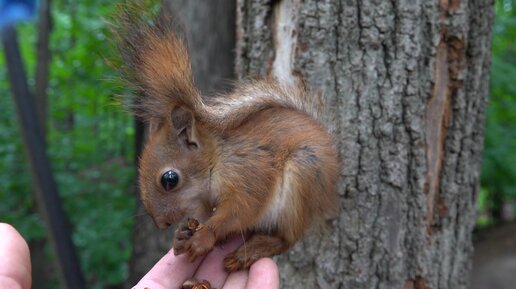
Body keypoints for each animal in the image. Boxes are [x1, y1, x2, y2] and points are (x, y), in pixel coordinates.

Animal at [114, 2, 338, 272]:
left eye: (169, 179)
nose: (161, 223)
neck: (216, 162)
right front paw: (181, 235)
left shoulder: (249, 173)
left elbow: (240, 210)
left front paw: (204, 237)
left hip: (303, 178)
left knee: (287, 239)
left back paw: (251, 251)